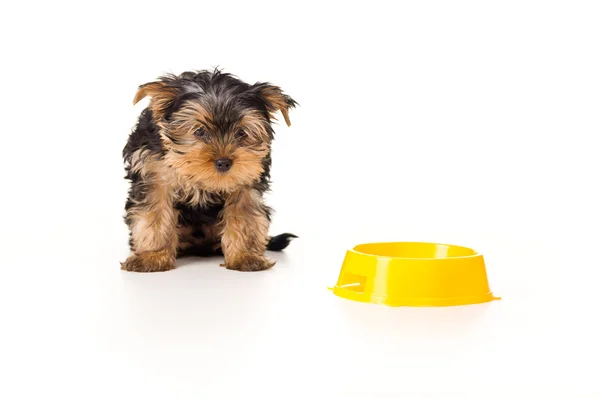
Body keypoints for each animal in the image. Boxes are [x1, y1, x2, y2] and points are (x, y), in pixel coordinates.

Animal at [121, 70, 298, 272]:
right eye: (199, 131)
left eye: (241, 133)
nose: (223, 163)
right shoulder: (153, 172)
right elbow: (154, 212)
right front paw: (152, 256)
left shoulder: (246, 178)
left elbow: (244, 213)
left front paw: (244, 256)